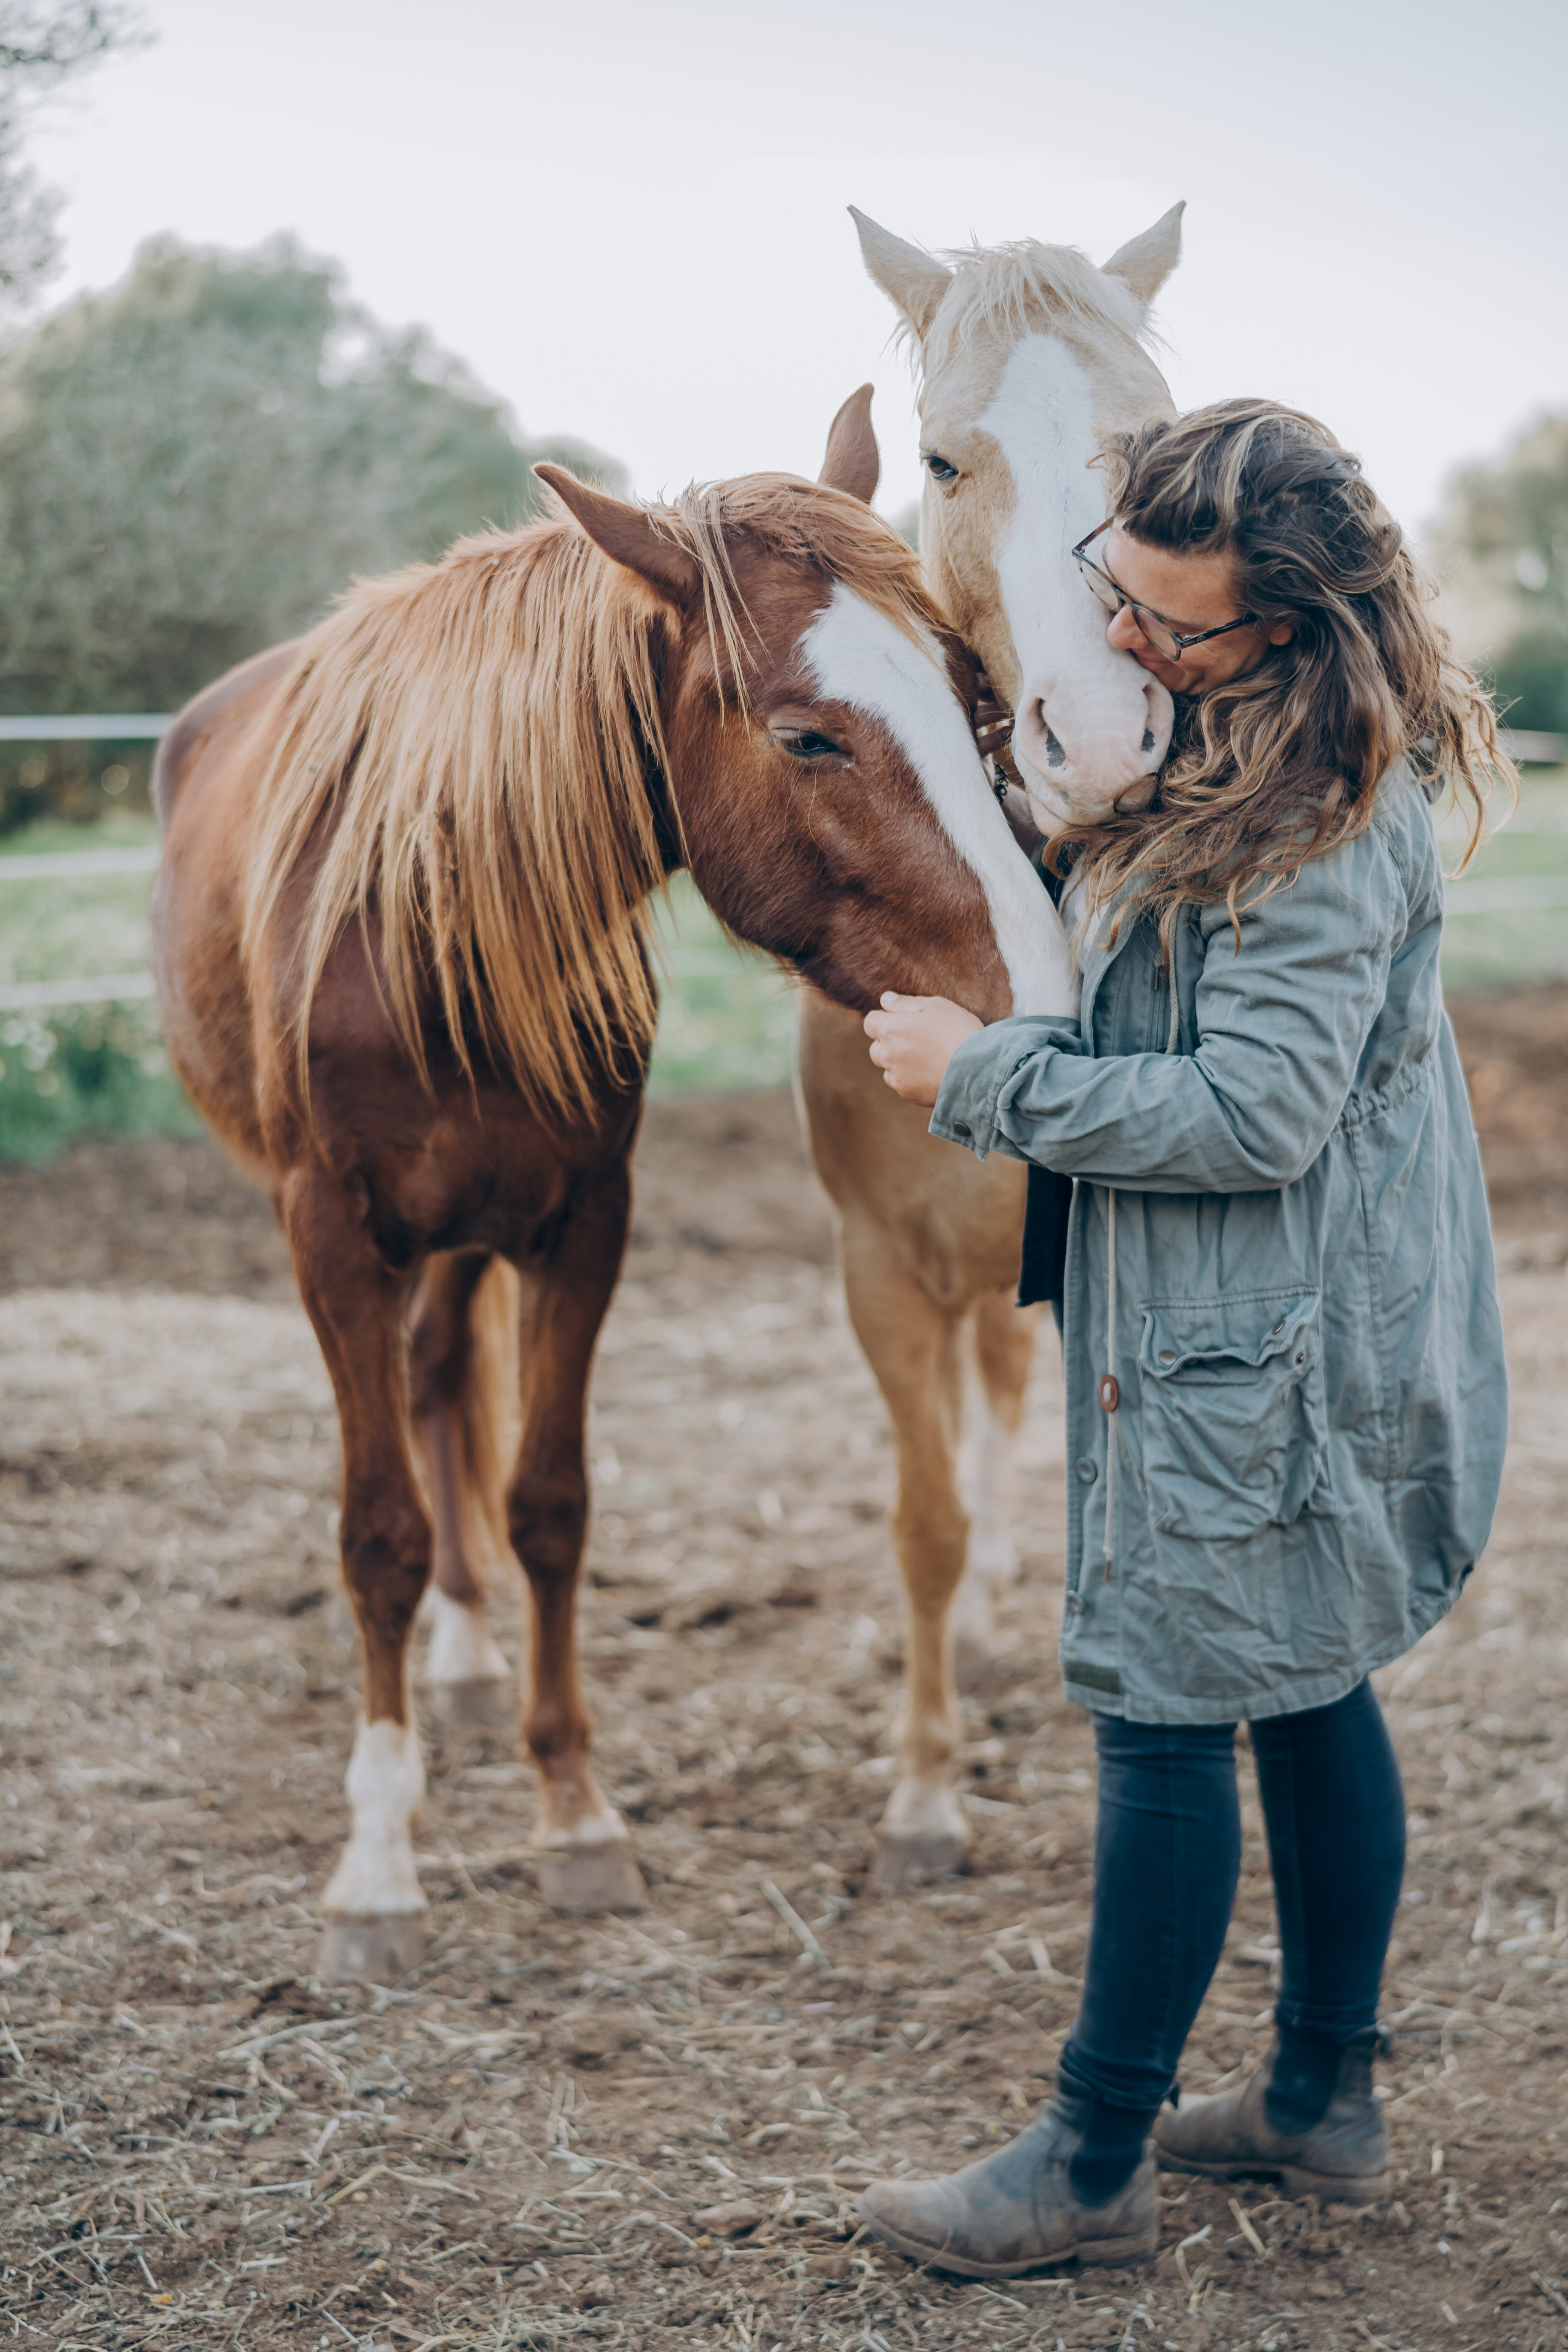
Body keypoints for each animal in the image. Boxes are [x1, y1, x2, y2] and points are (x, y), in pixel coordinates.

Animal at [150, 396, 1075, 1983]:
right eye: (806, 734)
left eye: (970, 691)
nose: (1046, 997)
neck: (423, 925)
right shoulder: (331, 1237)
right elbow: (378, 1533)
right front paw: (376, 1870)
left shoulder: (581, 1219)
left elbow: (549, 1506)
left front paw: (573, 1813)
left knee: (446, 1375)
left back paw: (469, 1667)